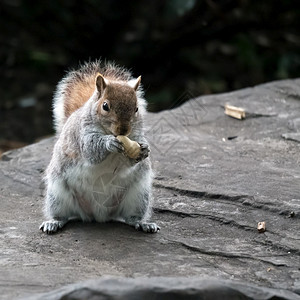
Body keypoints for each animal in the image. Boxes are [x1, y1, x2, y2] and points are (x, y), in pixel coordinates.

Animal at [40, 60, 162, 234]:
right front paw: (109, 143)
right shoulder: (82, 135)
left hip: (138, 195)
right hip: (58, 194)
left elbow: (130, 161)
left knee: (131, 217)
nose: (123, 130)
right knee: (62, 215)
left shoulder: (136, 137)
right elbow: (91, 150)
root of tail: (98, 216)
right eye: (105, 106)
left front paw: (144, 150)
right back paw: (54, 222)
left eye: (137, 108)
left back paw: (143, 223)